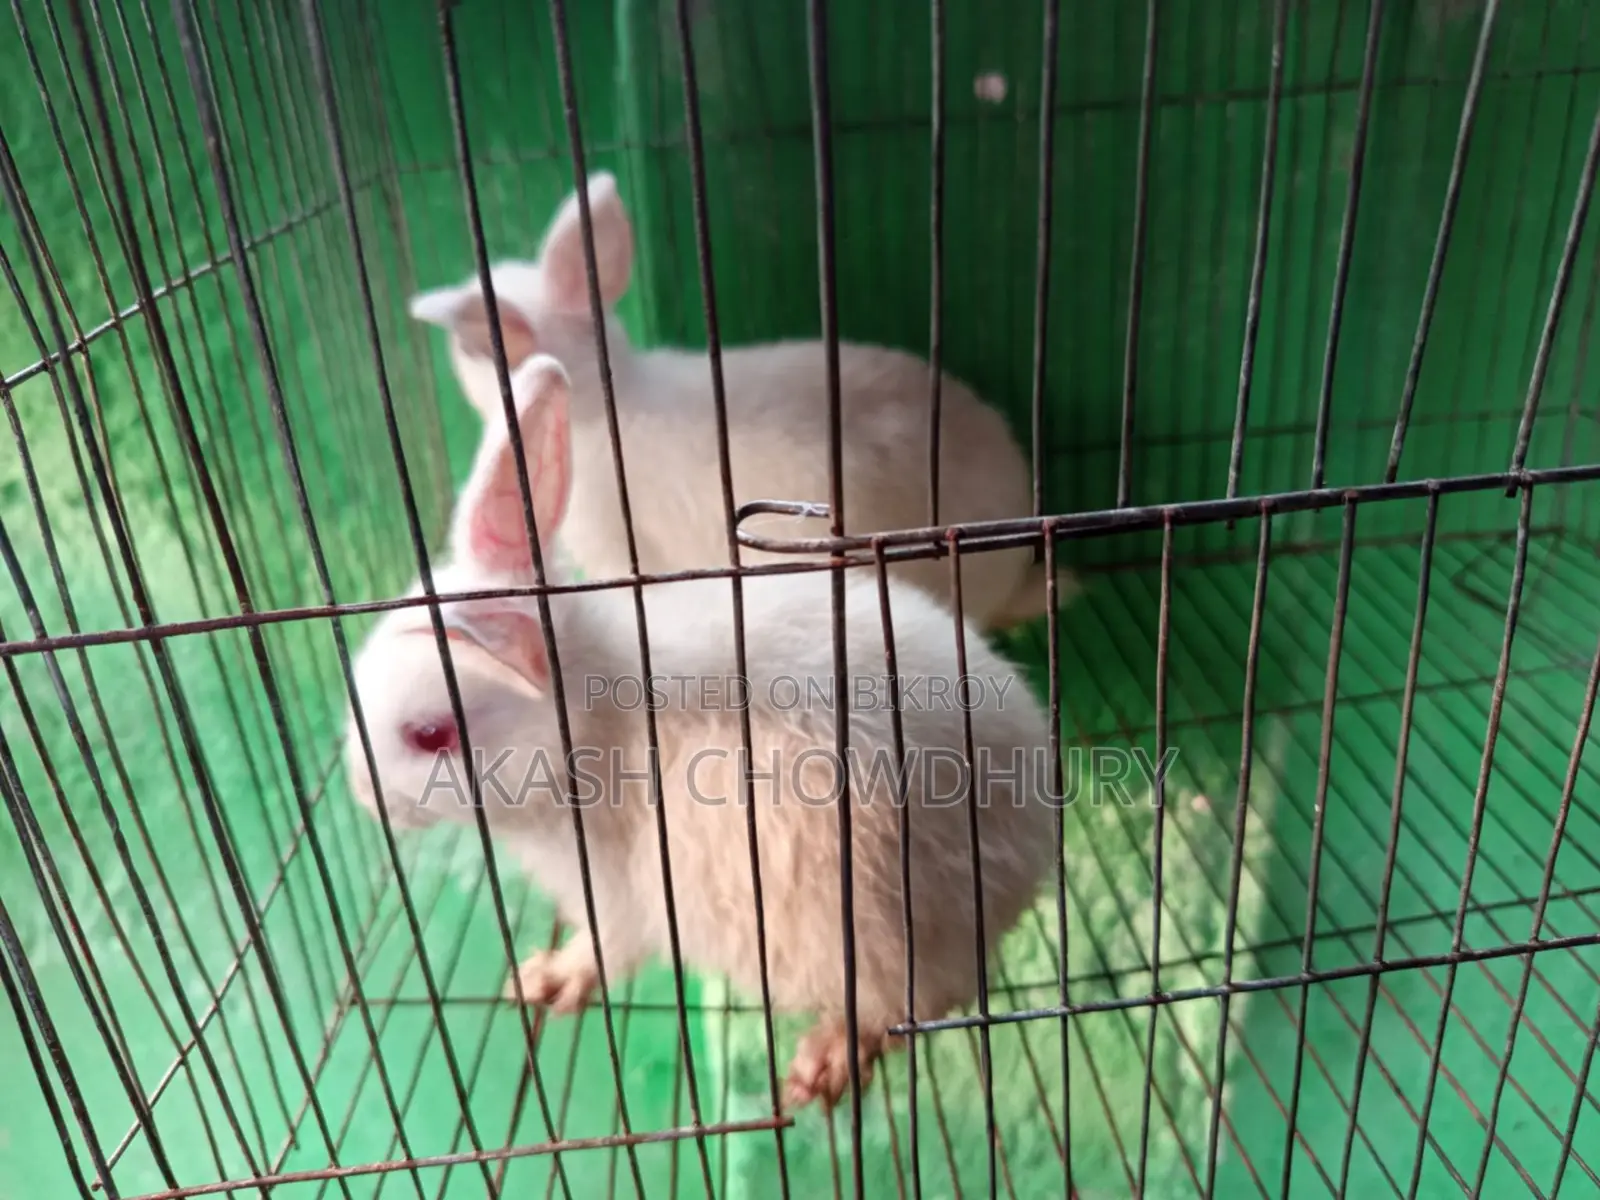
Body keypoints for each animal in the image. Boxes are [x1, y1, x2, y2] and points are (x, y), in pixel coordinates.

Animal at [343, 354, 1061, 1109]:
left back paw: (821, 1066)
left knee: (902, 1009)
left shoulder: (620, 899)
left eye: (429, 735)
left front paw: (548, 981)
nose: (362, 794)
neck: (586, 737)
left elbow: (603, 951)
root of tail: (1028, 851)